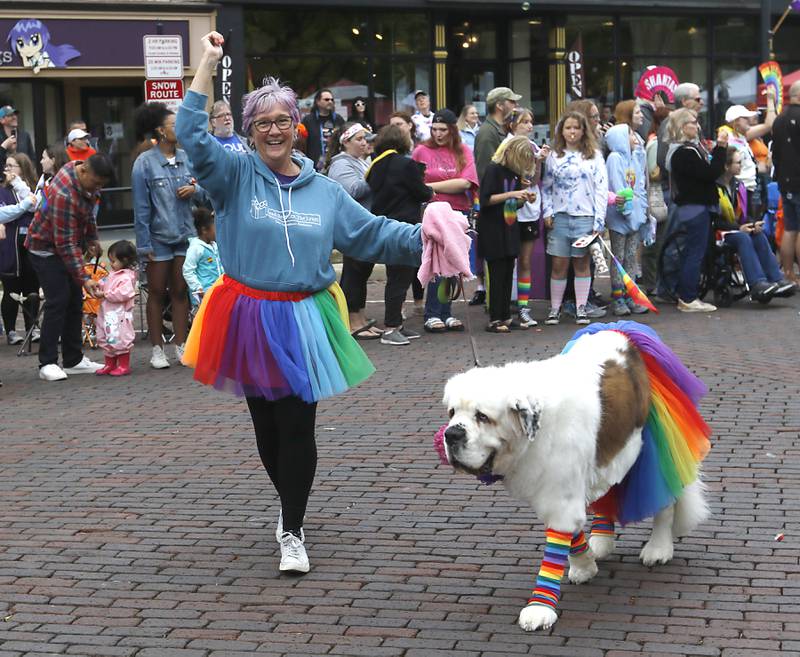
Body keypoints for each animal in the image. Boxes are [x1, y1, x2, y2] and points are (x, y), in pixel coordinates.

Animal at [440, 326, 708, 632]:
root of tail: (624, 331)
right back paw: (602, 541)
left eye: (482, 417)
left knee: (664, 497)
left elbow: (557, 541)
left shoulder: (561, 488)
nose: (451, 434)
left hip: (653, 443)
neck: (537, 427)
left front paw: (540, 608)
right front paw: (585, 564)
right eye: (452, 413)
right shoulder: (557, 484)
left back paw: (659, 547)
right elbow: (571, 531)